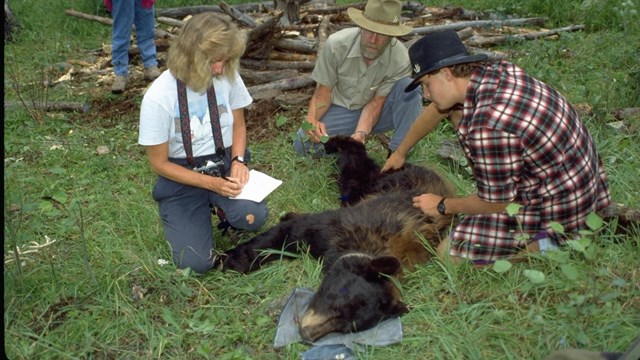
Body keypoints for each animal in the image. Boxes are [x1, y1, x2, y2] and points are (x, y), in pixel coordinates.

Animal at [219, 136, 456, 342]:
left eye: (347, 327)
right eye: (336, 303)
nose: (306, 334)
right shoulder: (339, 226)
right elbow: (290, 233)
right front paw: (233, 260)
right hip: (377, 184)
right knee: (356, 169)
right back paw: (335, 143)